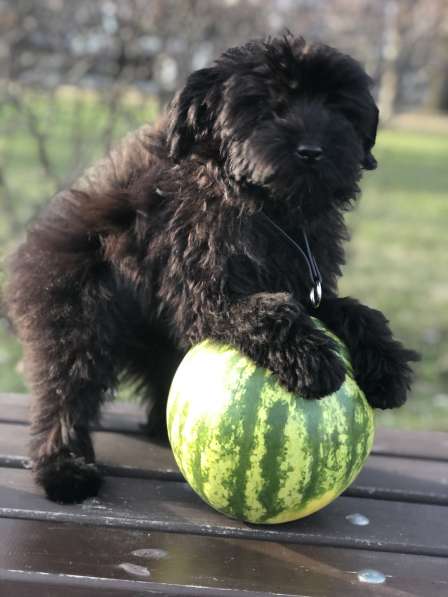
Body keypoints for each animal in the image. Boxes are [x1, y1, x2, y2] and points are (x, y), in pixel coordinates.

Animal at [4, 33, 416, 502]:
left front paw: (386, 364)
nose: (312, 150)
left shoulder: (307, 281)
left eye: (335, 105)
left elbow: (352, 310)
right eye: (267, 105)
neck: (270, 209)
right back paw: (64, 467)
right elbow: (267, 310)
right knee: (65, 392)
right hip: (79, 312)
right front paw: (311, 359)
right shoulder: (203, 289)